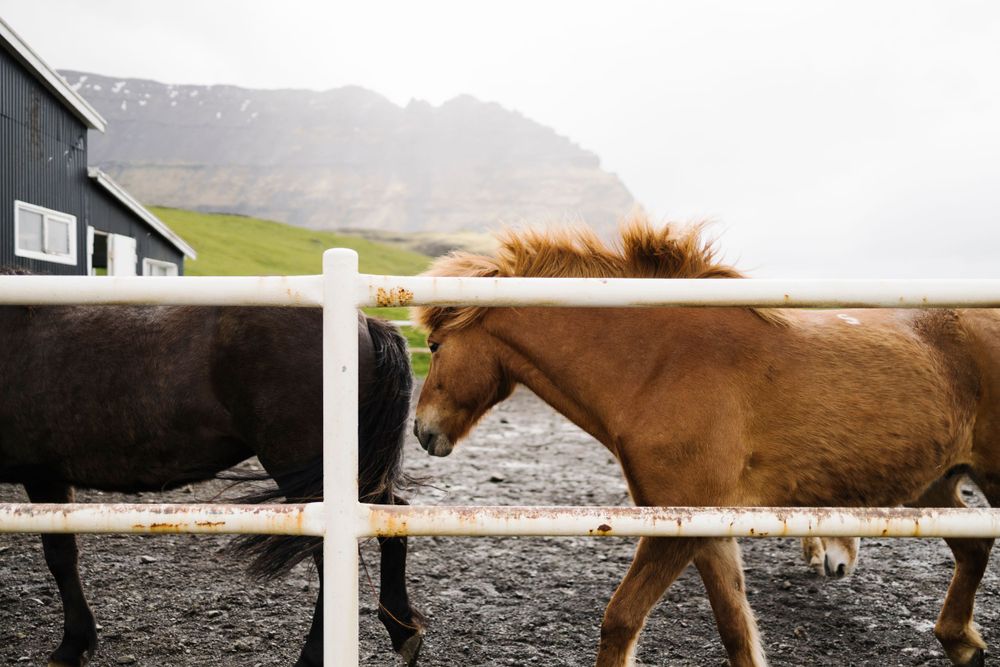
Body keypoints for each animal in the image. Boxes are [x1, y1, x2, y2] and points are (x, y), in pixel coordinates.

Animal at [0, 277, 424, 667]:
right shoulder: (50, 476)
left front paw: (71, 645)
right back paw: (403, 630)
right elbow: (63, 554)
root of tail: (365, 321)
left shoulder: (42, 476)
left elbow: (58, 557)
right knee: (392, 517)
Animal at [410, 215, 1000, 667]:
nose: (423, 431)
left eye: (434, 345)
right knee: (974, 546)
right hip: (933, 485)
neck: (661, 366)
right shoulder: (708, 525)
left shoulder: (679, 525)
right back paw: (961, 643)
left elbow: (620, 618)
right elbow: (735, 629)